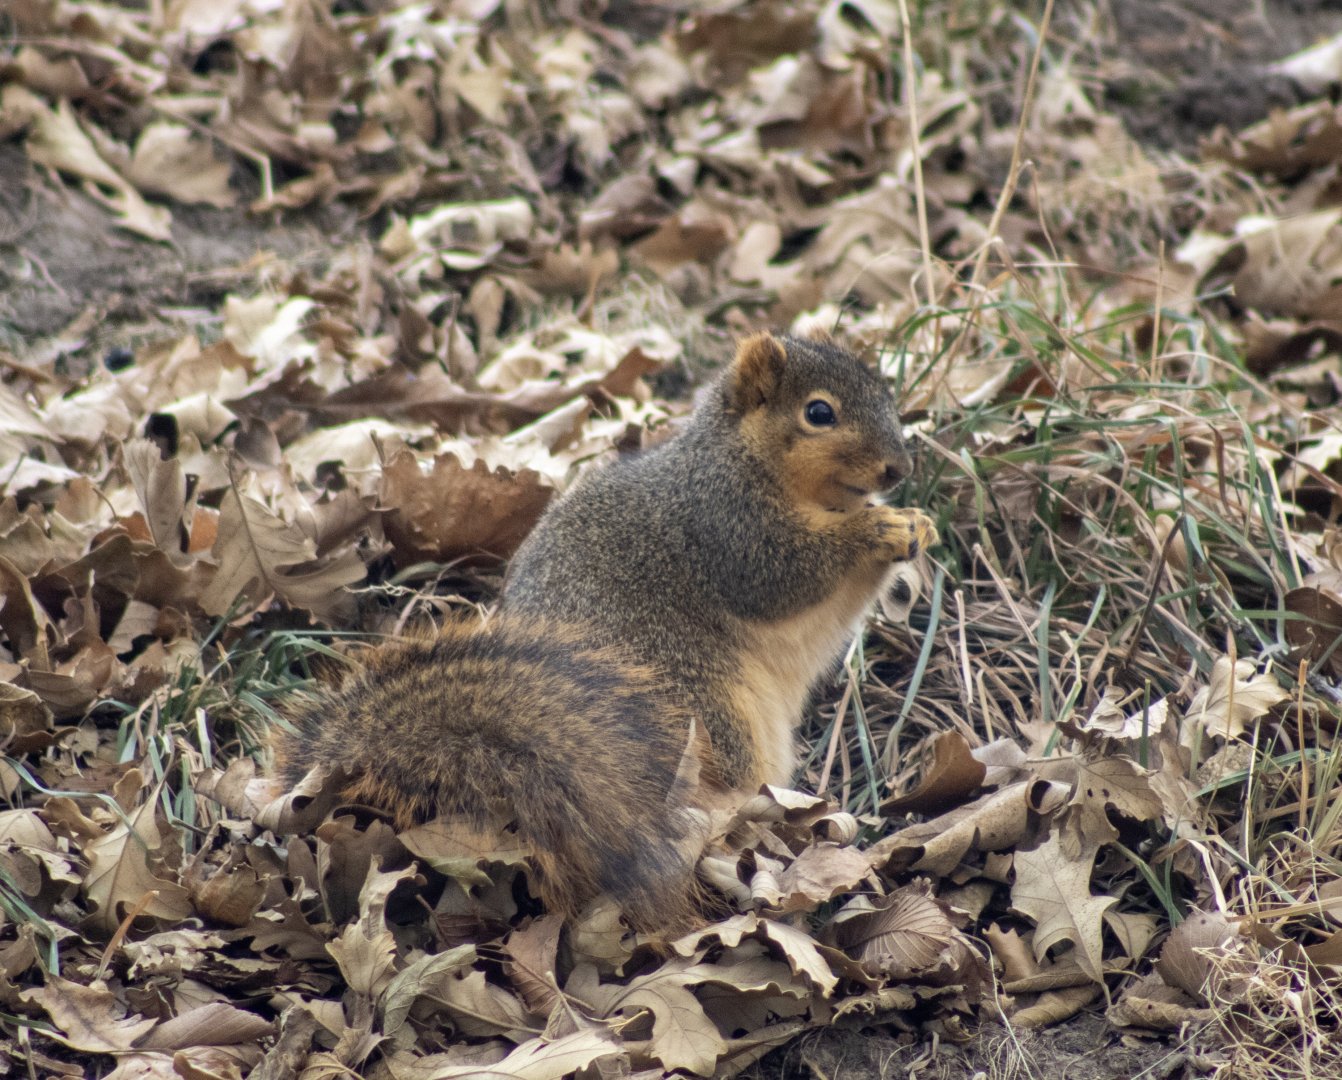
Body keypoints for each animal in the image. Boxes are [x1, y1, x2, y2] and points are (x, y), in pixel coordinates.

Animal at [273, 330, 938, 930]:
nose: (901, 469)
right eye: (819, 412)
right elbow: (783, 572)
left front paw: (917, 525)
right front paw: (879, 528)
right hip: (704, 711)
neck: (744, 458)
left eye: (883, 392)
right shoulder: (724, 522)